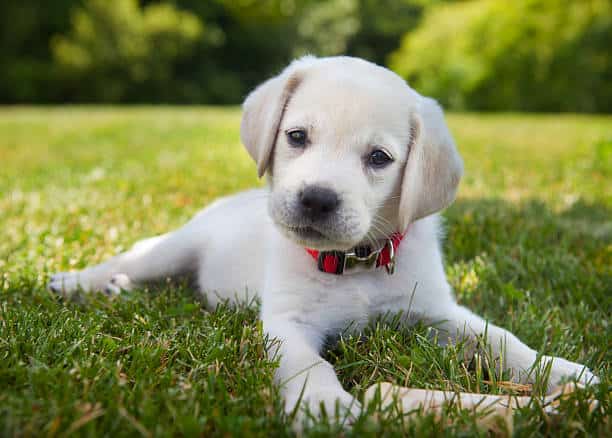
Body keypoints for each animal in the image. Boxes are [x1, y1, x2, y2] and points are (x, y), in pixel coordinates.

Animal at [49, 56, 596, 422]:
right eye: (296, 137)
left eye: (379, 158)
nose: (316, 199)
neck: (354, 263)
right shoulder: (288, 323)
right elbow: (306, 363)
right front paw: (324, 403)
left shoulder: (436, 310)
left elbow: (498, 337)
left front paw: (561, 371)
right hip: (173, 248)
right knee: (130, 259)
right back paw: (78, 281)